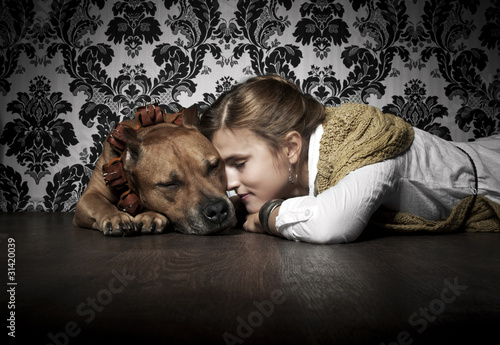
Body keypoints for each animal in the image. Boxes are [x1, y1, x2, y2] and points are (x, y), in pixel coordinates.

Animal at [73, 104, 236, 236]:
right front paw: (115, 216)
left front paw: (149, 215)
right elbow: (101, 204)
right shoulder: (89, 196)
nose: (217, 210)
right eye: (169, 184)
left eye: (214, 166)